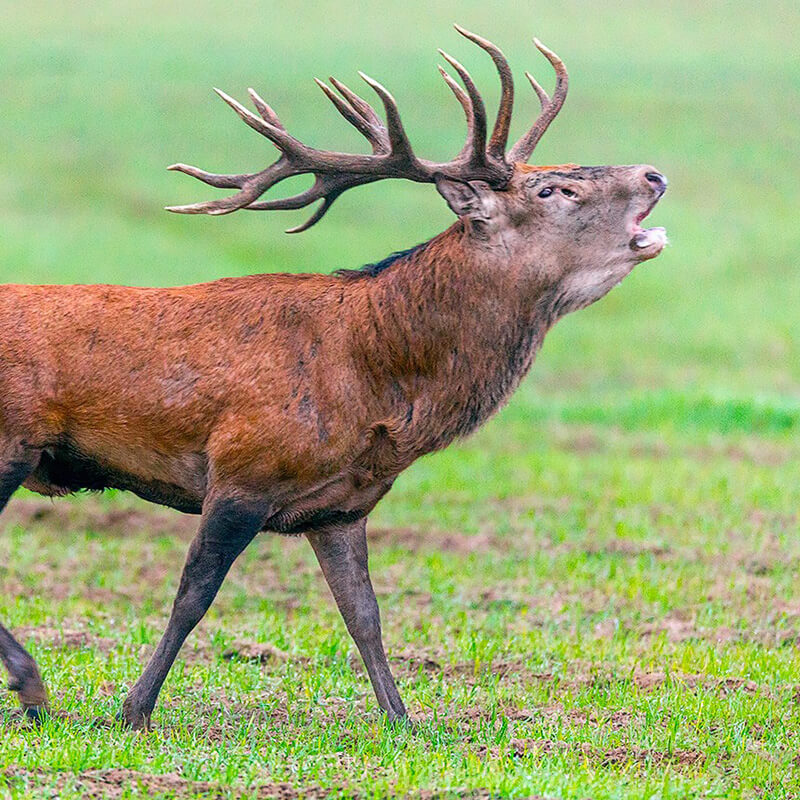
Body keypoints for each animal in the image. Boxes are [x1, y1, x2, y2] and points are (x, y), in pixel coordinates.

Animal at [0, 25, 664, 728]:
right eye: (552, 191)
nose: (654, 173)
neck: (373, 380)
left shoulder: (342, 507)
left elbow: (364, 616)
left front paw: (403, 721)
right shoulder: (242, 471)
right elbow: (193, 597)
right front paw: (135, 711)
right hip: (13, 440)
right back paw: (32, 687)